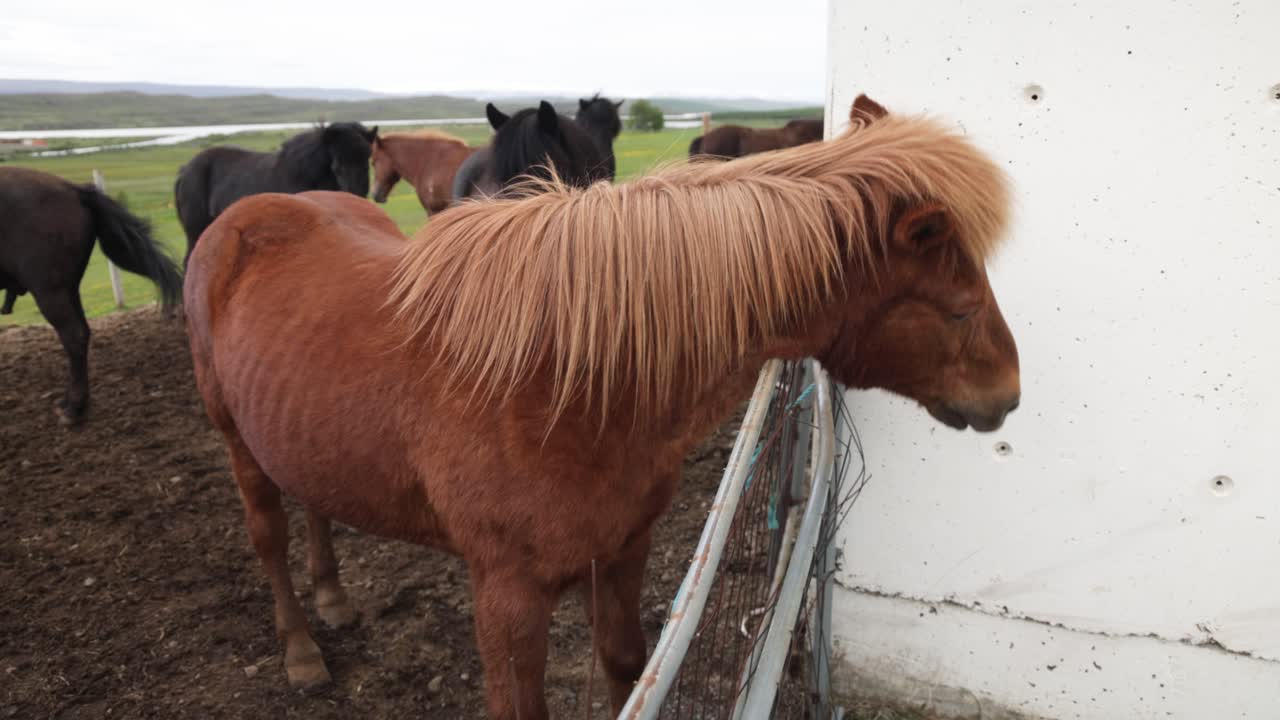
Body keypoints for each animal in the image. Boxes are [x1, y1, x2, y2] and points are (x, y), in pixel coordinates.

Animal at [0, 166, 182, 422]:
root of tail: (75, 190)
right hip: (69, 290)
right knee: (82, 334)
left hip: (51, 292)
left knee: (74, 336)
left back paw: (73, 408)